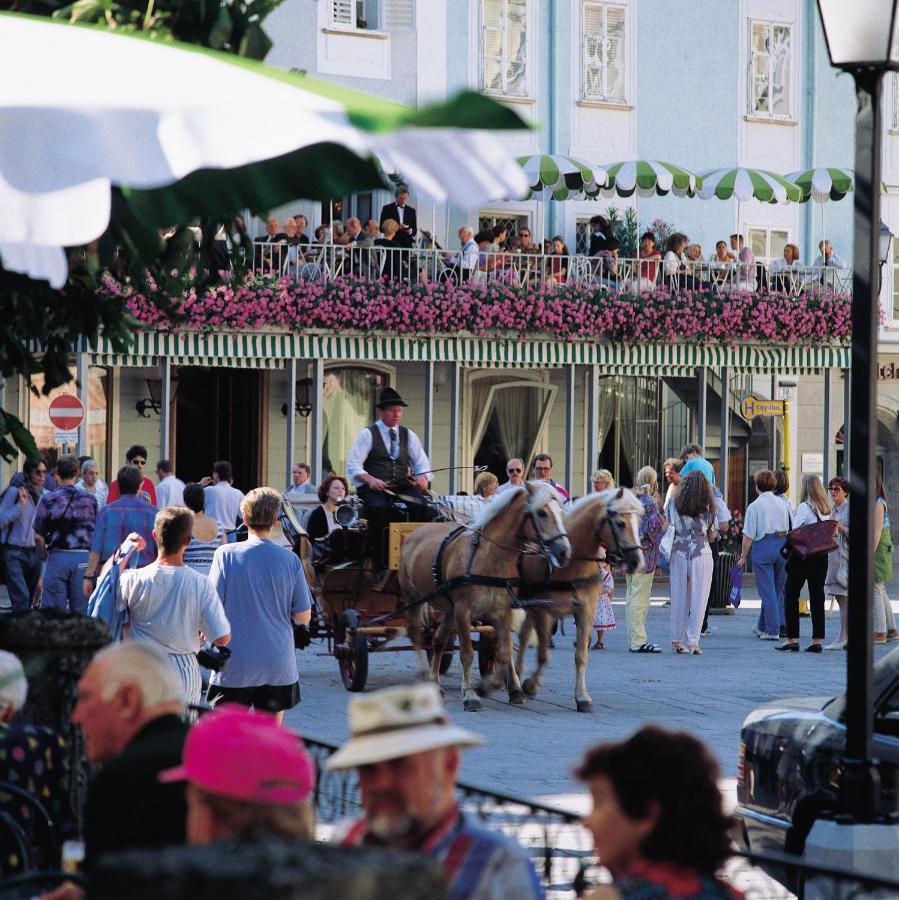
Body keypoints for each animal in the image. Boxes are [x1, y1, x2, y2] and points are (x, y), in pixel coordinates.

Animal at [400, 482, 568, 712]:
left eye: (561, 510)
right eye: (541, 512)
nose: (564, 551)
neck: (488, 557)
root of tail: (417, 532)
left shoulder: (502, 613)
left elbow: (504, 652)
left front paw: (502, 687)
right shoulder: (464, 611)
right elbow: (467, 653)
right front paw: (471, 694)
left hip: (449, 610)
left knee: (438, 641)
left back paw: (435, 682)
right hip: (414, 600)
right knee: (416, 635)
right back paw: (426, 675)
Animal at [516, 488, 644, 712]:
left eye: (638, 521)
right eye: (620, 523)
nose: (636, 561)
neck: (572, 563)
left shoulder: (586, 610)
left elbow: (581, 655)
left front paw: (582, 697)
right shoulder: (544, 610)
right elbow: (543, 653)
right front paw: (531, 684)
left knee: (523, 635)